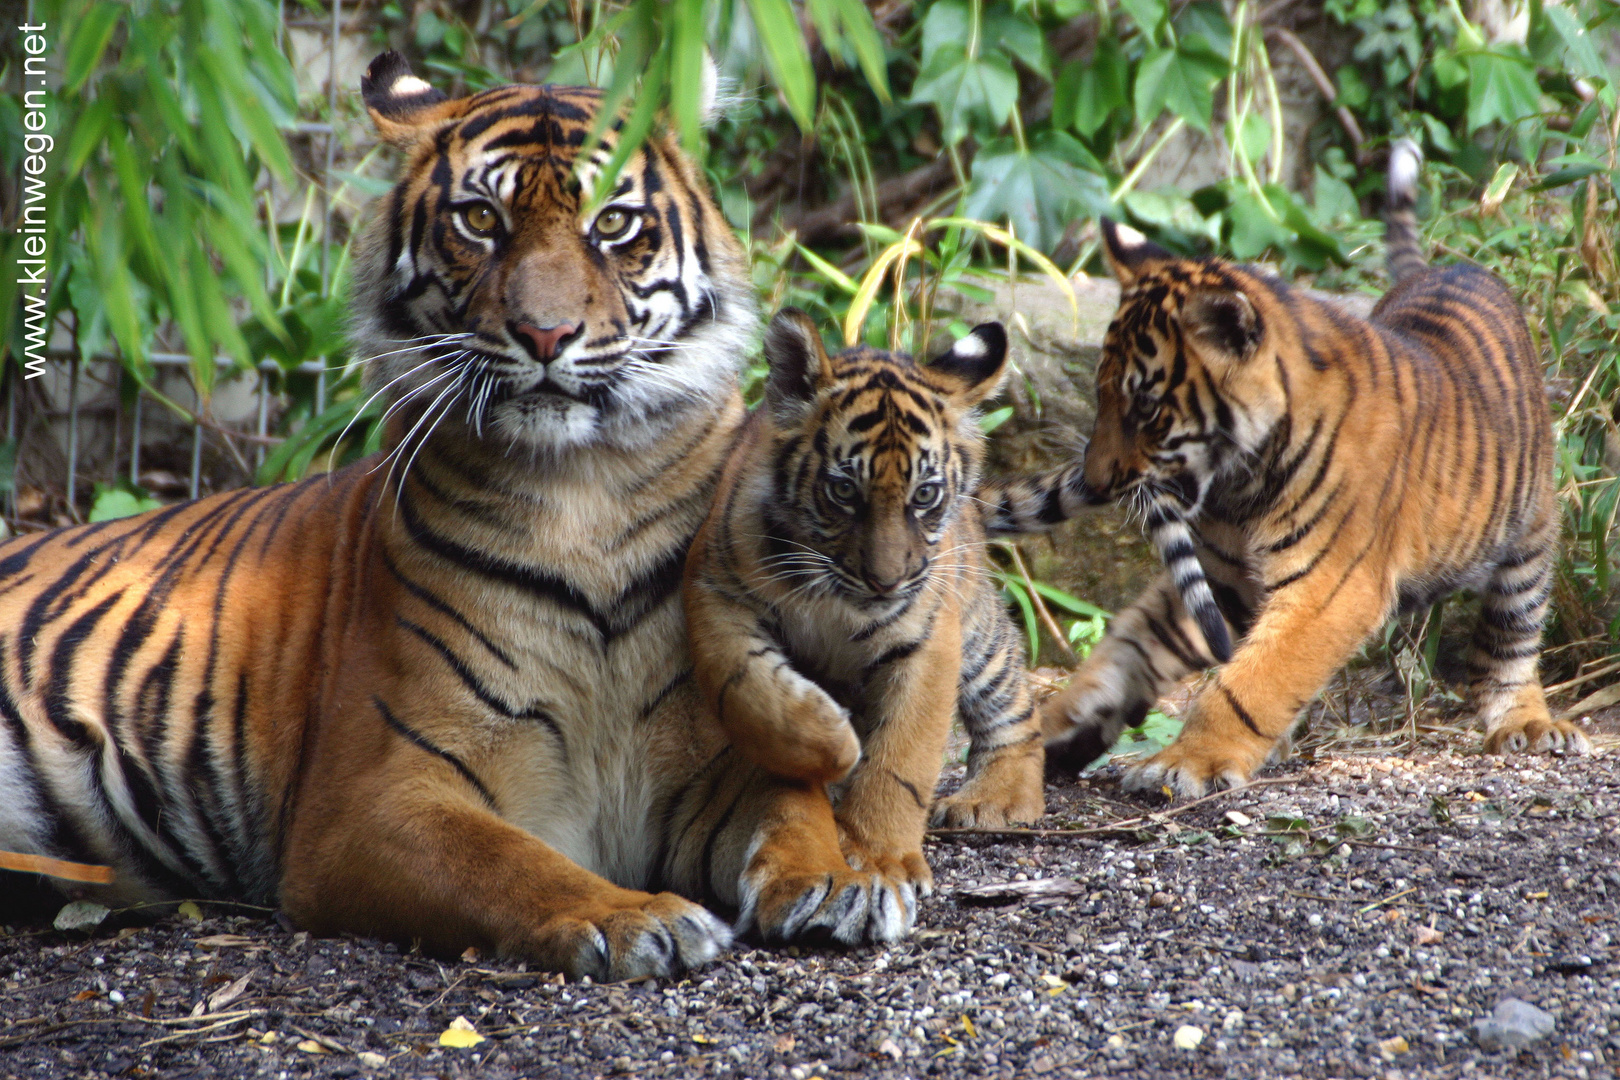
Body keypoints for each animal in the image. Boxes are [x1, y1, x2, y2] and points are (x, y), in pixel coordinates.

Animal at [0, 52, 926, 977]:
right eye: (481, 220)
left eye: (613, 224)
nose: (545, 334)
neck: (586, 491)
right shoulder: (374, 798)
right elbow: (508, 863)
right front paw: (636, 918)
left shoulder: (711, 758)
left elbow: (792, 803)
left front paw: (838, 882)